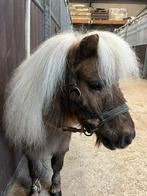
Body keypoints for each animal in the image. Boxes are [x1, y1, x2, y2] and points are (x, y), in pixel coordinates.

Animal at [3, 31, 139, 195]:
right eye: (95, 84)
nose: (128, 136)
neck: (50, 124)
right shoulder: (31, 149)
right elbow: (34, 170)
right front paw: (35, 189)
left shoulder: (62, 146)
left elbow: (57, 165)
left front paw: (56, 187)